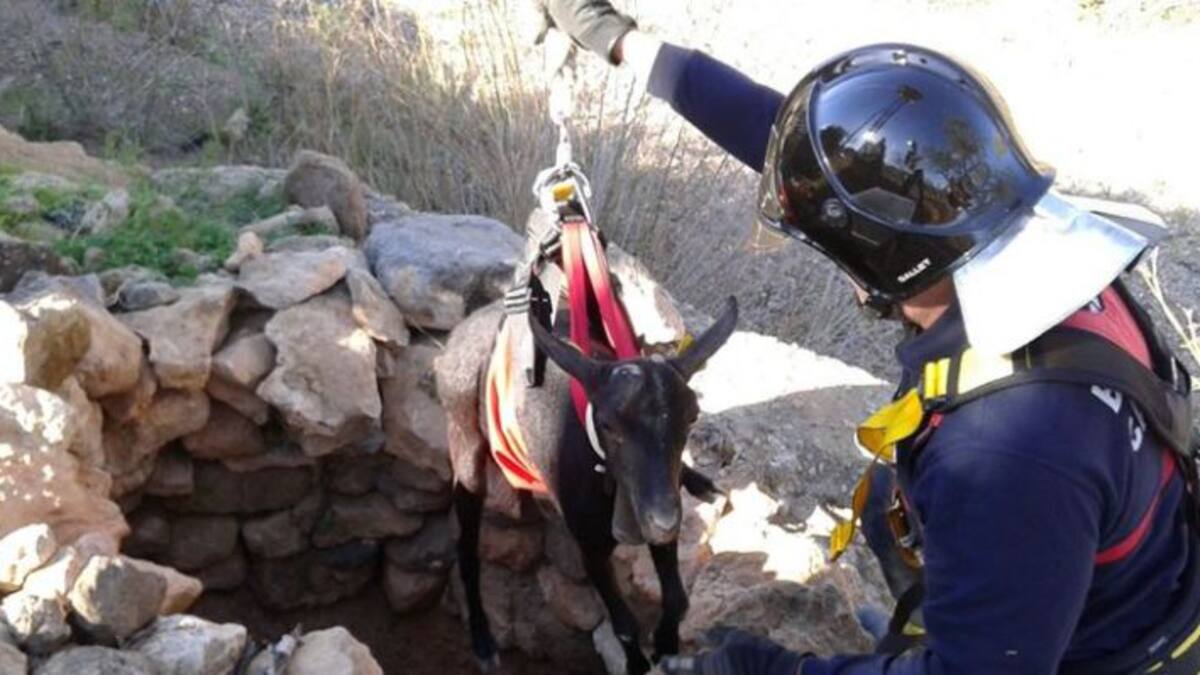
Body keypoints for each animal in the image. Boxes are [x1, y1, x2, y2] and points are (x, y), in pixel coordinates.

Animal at [435, 295, 738, 675]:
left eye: (692, 416)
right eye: (608, 424)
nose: (664, 520)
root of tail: (463, 328)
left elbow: (677, 600)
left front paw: (666, 646)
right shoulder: (589, 545)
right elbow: (624, 624)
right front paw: (638, 664)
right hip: (463, 435)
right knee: (466, 544)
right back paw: (483, 642)